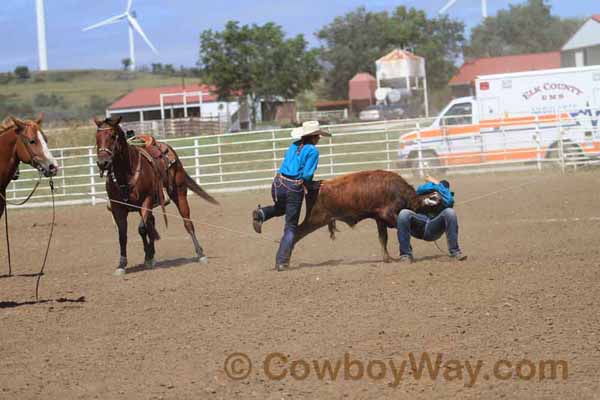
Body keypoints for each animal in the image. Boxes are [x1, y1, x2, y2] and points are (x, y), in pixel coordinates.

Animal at [92, 115, 217, 276]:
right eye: (97, 137)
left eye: (113, 136)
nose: (103, 162)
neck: (126, 174)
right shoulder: (118, 208)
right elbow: (123, 235)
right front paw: (122, 264)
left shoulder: (147, 200)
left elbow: (142, 229)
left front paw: (149, 257)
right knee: (151, 224)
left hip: (179, 193)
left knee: (187, 222)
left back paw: (200, 254)